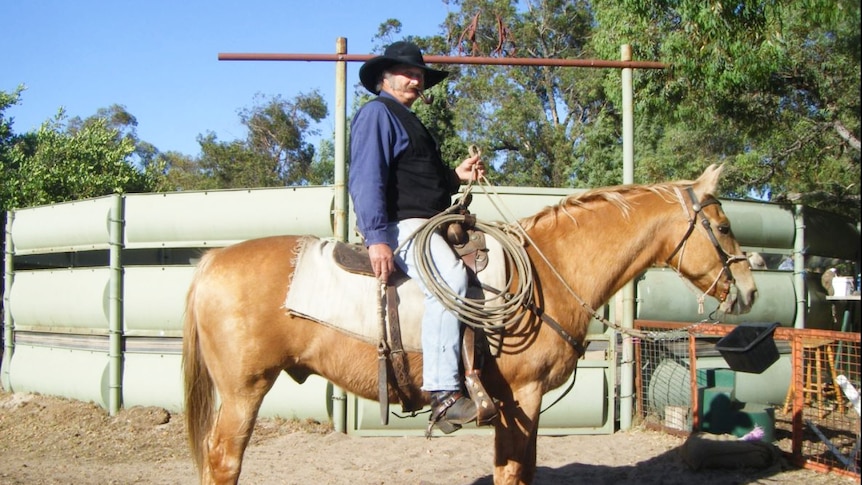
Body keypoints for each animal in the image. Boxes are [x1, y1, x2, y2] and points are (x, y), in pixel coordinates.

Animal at [181, 164, 756, 482]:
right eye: (725, 225)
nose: (749, 291)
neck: (550, 267)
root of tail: (212, 262)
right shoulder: (522, 397)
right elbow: (514, 472)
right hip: (244, 391)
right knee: (223, 461)